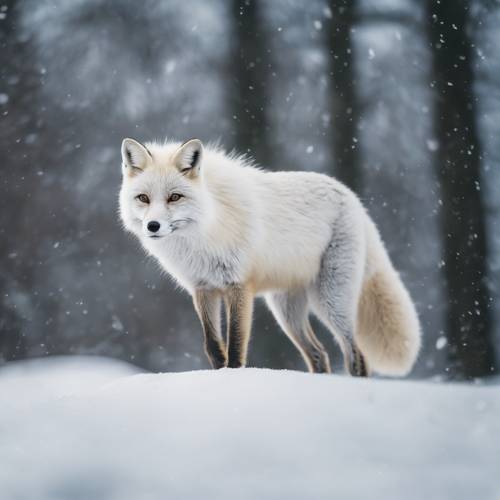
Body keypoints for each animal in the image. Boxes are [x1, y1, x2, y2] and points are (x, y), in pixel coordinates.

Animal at [119, 137, 420, 376]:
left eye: (174, 197)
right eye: (143, 198)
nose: (153, 226)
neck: (205, 231)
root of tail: (352, 197)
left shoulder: (238, 285)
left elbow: (235, 344)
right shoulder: (203, 288)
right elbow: (214, 346)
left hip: (331, 301)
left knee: (356, 356)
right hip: (286, 310)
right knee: (319, 354)